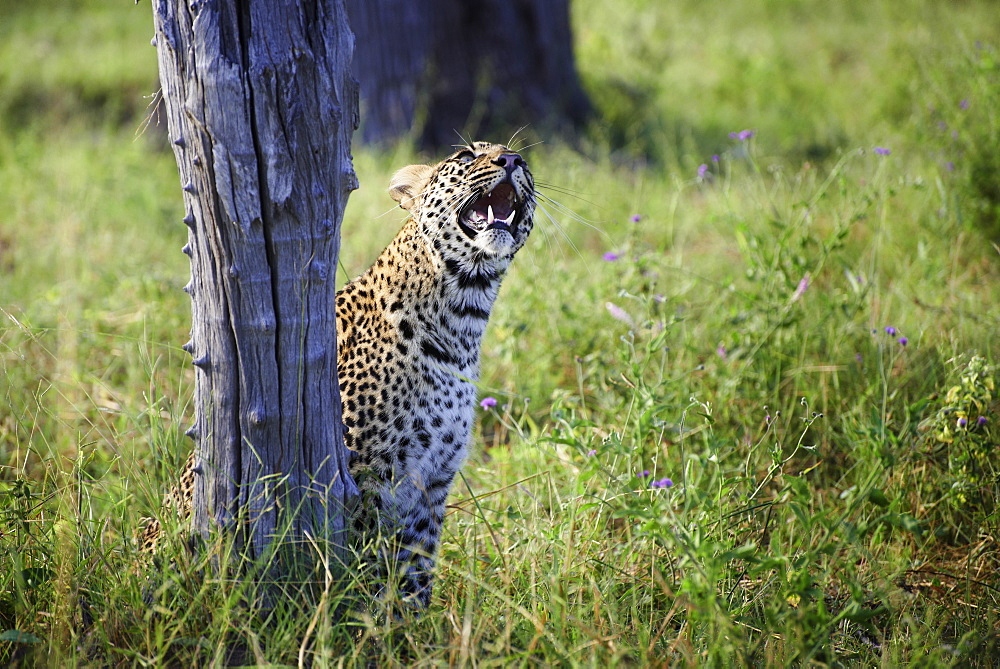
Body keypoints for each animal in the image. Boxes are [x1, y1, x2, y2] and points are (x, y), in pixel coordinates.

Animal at [142, 140, 540, 604]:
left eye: (524, 162)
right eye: (465, 155)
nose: (511, 161)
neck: (463, 314)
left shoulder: (432, 485)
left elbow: (416, 575)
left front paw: (410, 623)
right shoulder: (365, 476)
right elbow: (370, 566)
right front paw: (366, 615)